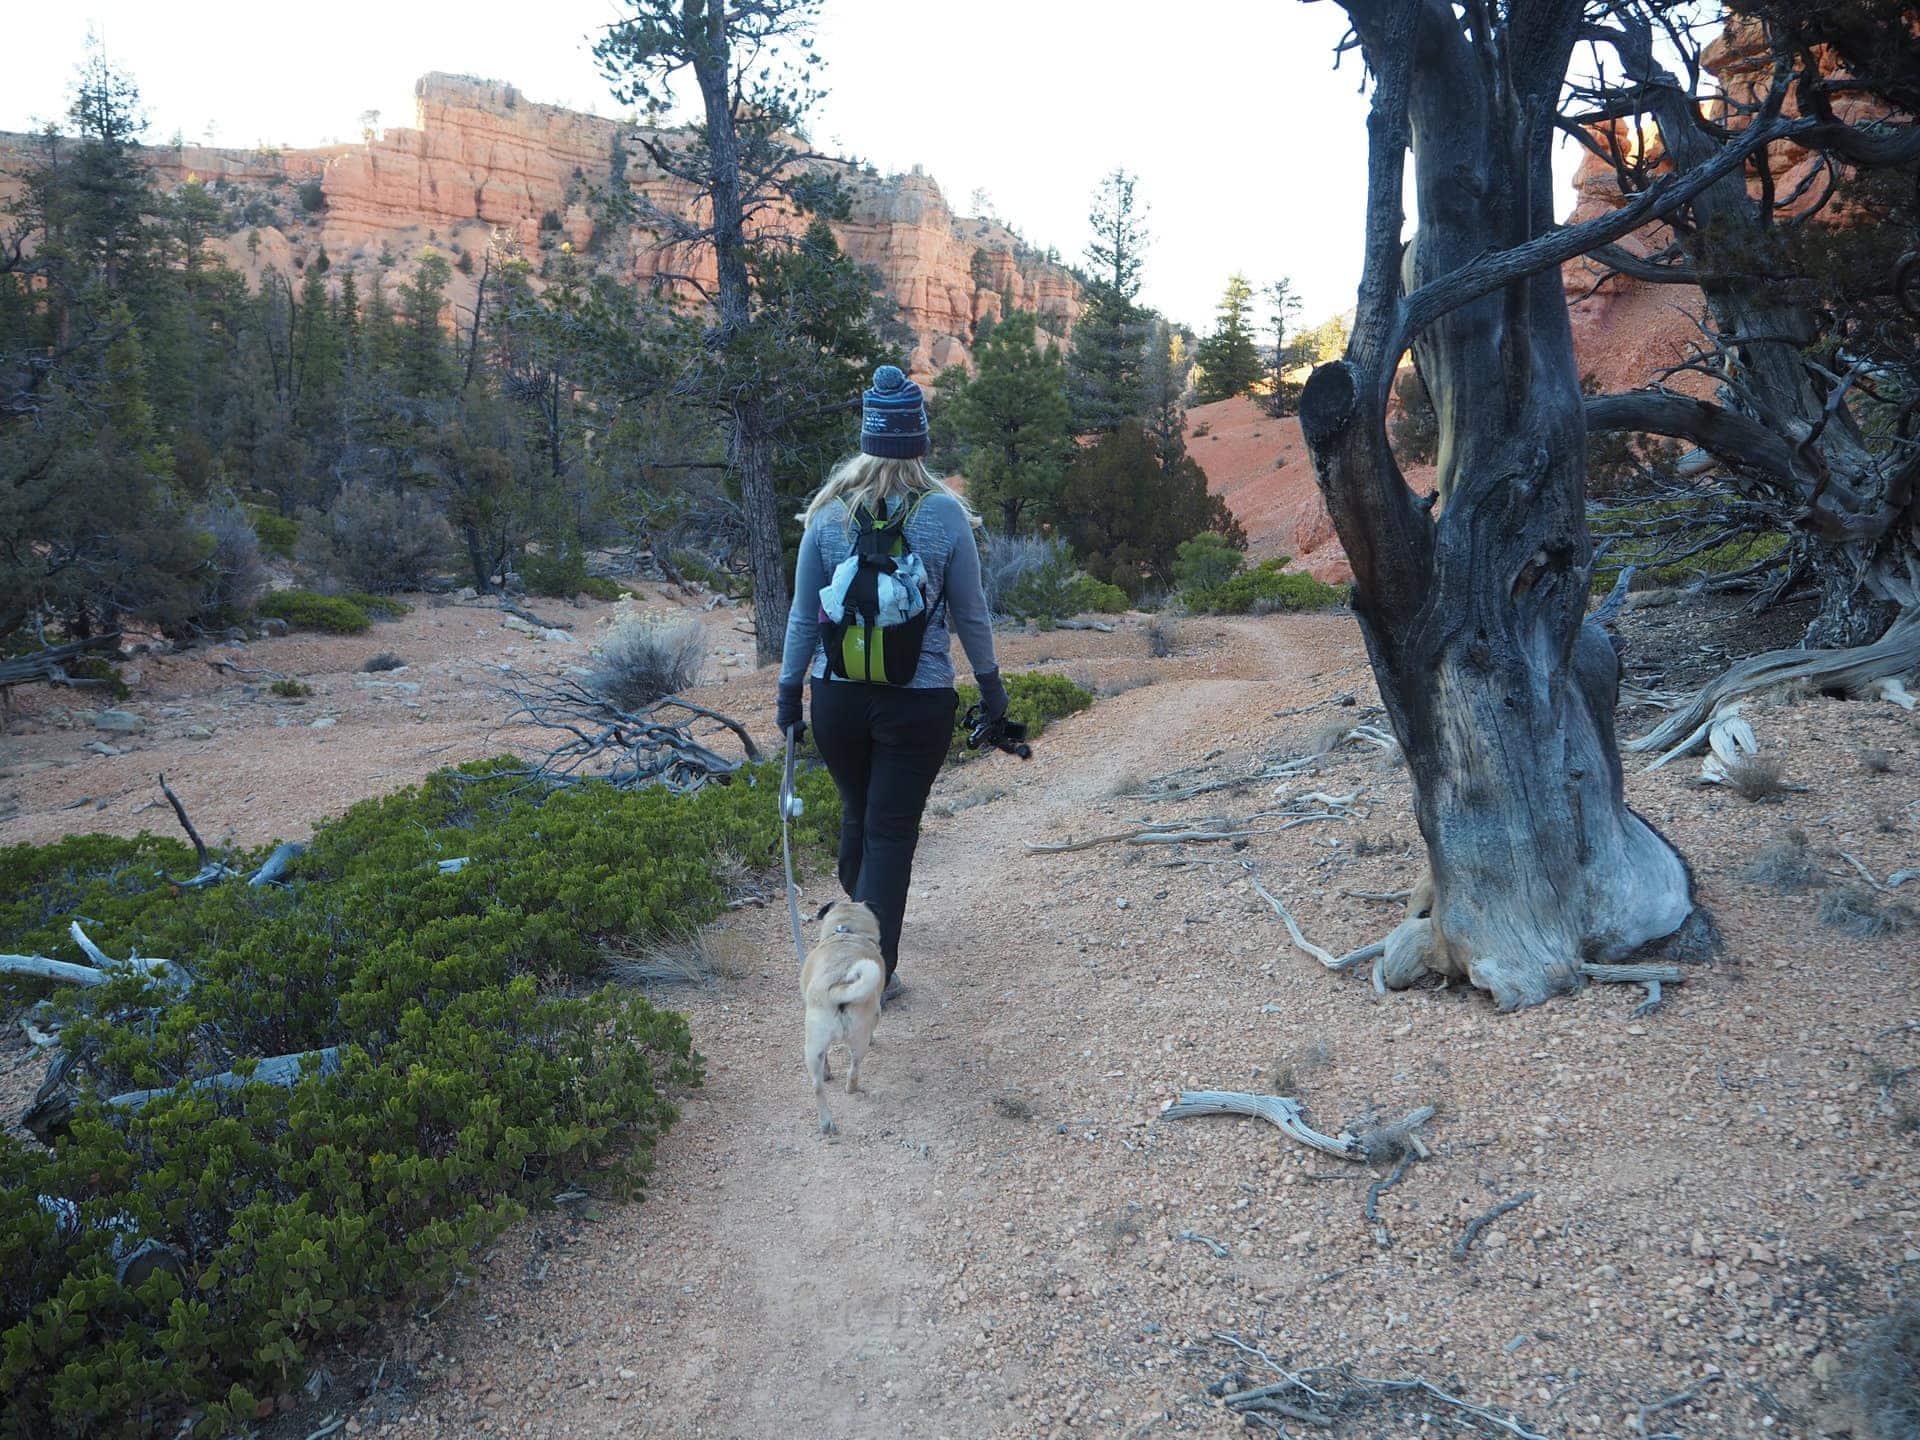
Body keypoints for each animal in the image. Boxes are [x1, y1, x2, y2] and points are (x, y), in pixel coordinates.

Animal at [794, 902, 883, 1136]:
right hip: (859, 1041)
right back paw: (852, 1088)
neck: (847, 930)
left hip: (814, 1046)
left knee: (817, 1085)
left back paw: (826, 1122)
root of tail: (838, 989)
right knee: (854, 1069)